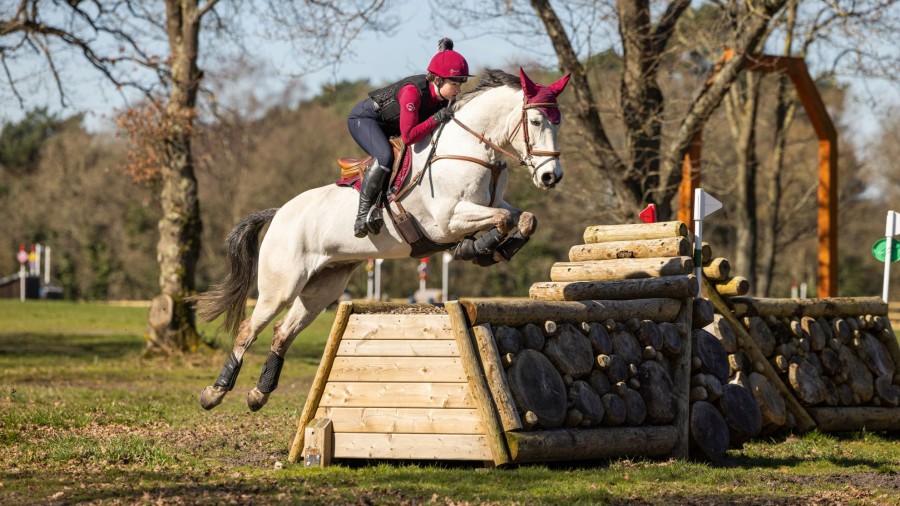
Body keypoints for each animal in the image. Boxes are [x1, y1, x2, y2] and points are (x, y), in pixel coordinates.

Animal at [197, 68, 568, 412]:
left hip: (323, 286)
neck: (472, 150)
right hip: (282, 286)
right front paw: (477, 248)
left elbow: (524, 218)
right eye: (536, 120)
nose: (552, 177)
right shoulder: (447, 219)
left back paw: (258, 394)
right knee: (249, 329)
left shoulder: (492, 204)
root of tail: (279, 213)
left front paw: (491, 249)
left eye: (558, 123)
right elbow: (503, 220)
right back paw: (214, 393)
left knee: (282, 332)